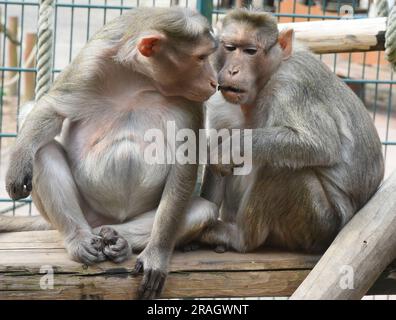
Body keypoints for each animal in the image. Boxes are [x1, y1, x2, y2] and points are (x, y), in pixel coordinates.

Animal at [3, 8, 218, 302]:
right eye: (201, 58)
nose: (214, 82)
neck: (141, 79)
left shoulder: (191, 100)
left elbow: (184, 164)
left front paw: (157, 253)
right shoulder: (91, 61)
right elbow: (52, 110)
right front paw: (18, 161)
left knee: (202, 209)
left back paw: (119, 239)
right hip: (86, 210)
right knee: (42, 147)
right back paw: (79, 238)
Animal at [201, 10, 384, 254]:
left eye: (250, 51)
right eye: (230, 47)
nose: (232, 70)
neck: (265, 82)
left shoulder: (291, 85)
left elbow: (320, 144)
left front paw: (231, 148)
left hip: (320, 223)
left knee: (280, 166)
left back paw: (241, 237)